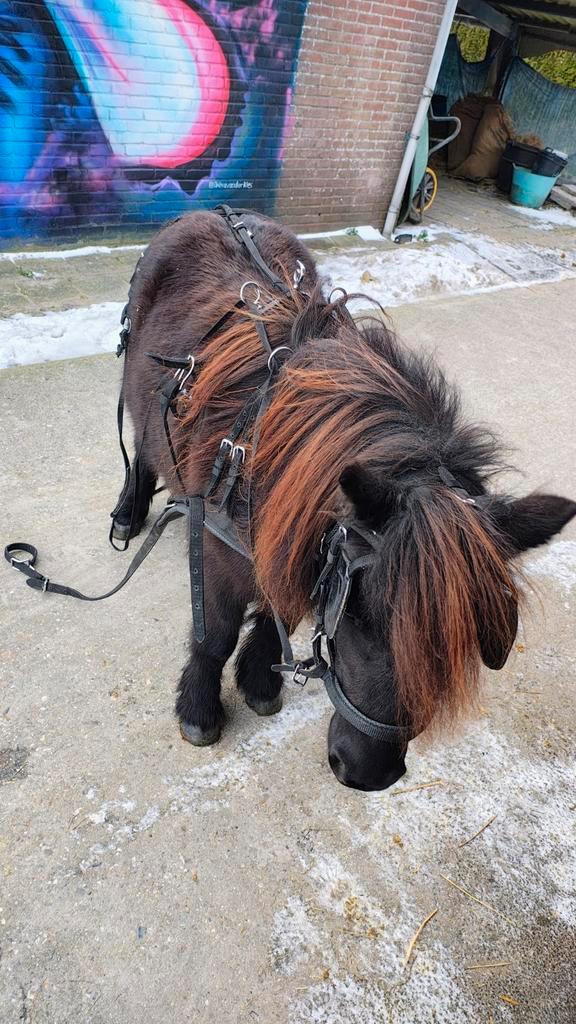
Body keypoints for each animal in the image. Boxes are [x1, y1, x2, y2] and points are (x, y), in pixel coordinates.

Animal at [112, 207, 576, 791]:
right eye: (358, 615)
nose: (368, 771)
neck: (266, 442)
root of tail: (212, 212)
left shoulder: (288, 538)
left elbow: (281, 608)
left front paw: (259, 678)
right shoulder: (217, 551)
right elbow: (214, 635)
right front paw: (198, 710)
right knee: (142, 443)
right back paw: (129, 513)